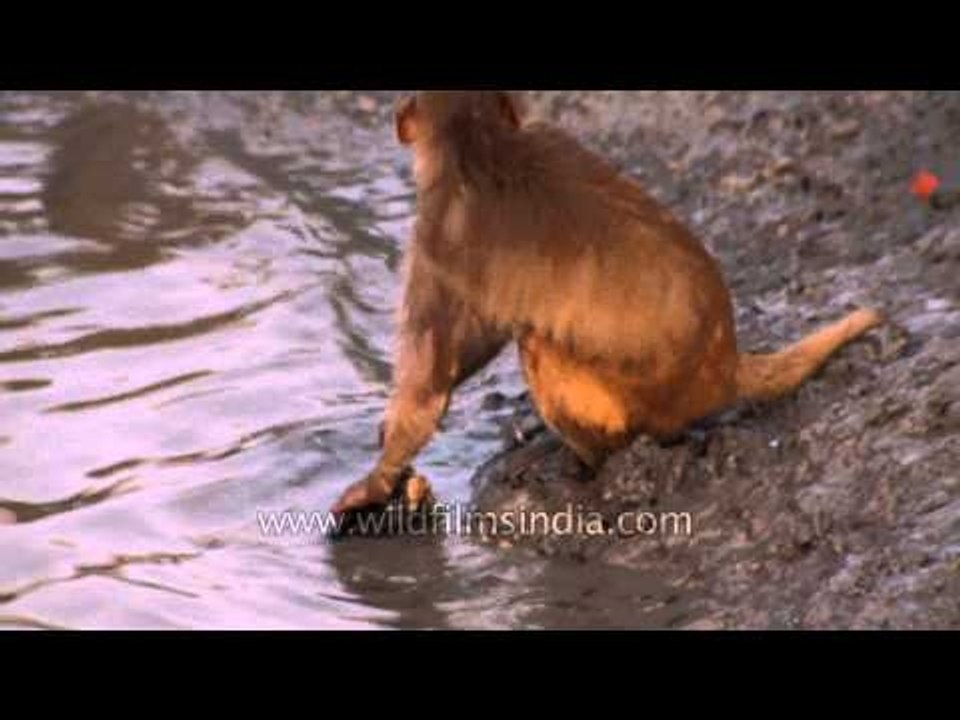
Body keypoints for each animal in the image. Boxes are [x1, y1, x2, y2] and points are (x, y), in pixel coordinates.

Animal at [330, 91, 882, 515]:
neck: (481, 143)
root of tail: (725, 368)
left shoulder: (436, 235)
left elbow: (428, 386)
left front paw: (374, 481)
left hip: (638, 407)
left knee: (540, 344)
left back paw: (587, 464)